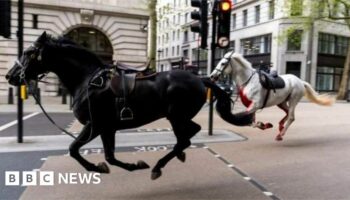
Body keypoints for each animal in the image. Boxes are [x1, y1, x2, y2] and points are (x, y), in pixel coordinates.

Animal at [4, 32, 252, 180]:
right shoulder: (107, 128)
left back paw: (159, 166)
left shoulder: (95, 125)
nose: (10, 76)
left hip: (176, 116)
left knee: (186, 138)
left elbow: (74, 149)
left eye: (28, 52)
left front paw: (97, 168)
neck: (87, 79)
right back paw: (175, 156)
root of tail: (201, 79)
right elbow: (109, 157)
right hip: (178, 117)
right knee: (189, 135)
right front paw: (130, 165)